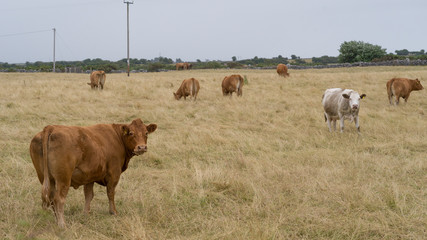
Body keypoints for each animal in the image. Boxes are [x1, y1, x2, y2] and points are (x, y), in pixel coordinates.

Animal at [29, 119, 157, 228]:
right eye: (131, 133)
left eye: (146, 133)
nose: (142, 147)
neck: (117, 137)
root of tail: (51, 128)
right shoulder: (114, 173)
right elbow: (111, 193)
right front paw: (113, 212)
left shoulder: (89, 176)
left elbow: (88, 195)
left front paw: (86, 214)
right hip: (63, 179)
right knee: (58, 199)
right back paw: (62, 224)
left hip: (46, 178)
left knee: (50, 198)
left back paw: (56, 221)